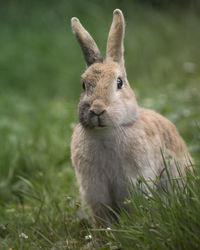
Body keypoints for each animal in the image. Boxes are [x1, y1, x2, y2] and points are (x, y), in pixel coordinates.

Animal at [70, 8, 192, 224]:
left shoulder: (135, 180)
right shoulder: (94, 187)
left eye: (119, 82)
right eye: (84, 85)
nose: (97, 109)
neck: (105, 133)